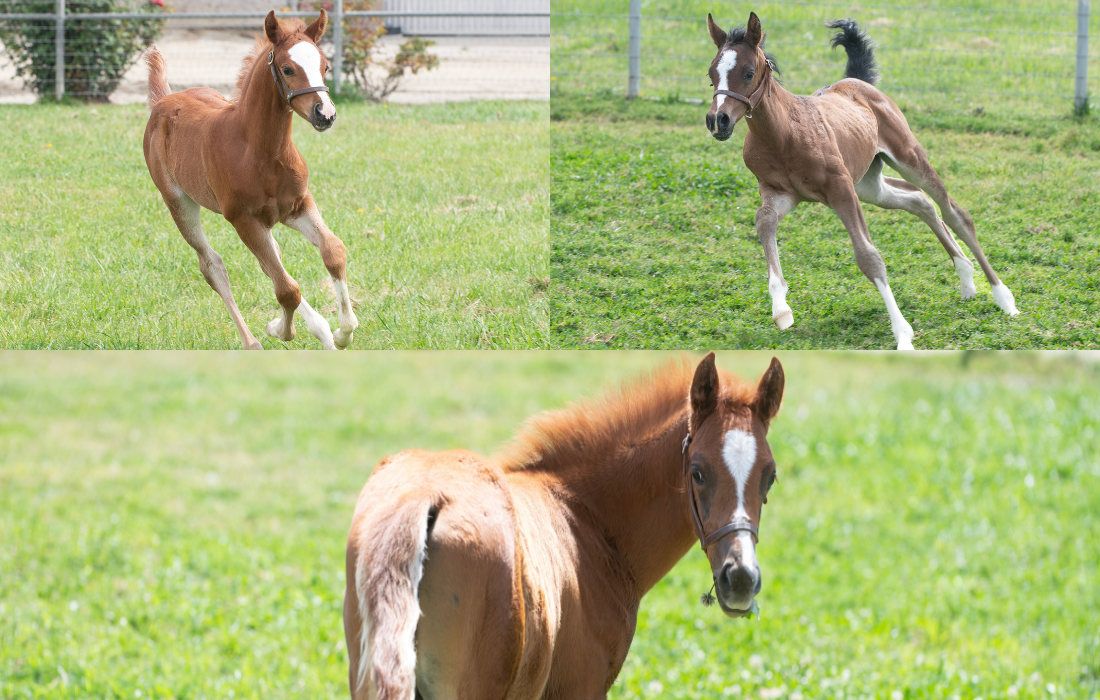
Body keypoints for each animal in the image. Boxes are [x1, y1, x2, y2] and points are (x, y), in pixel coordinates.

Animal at [141, 9, 356, 347]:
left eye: (325, 66)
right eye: (288, 69)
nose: (325, 114)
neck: (261, 153)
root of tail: (163, 100)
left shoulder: (298, 205)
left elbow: (332, 251)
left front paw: (342, 332)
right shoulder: (243, 220)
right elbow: (287, 289)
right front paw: (281, 330)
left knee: (272, 260)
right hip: (178, 203)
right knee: (213, 266)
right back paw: (253, 342)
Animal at [343, 354, 783, 700]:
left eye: (770, 477)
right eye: (698, 472)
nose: (741, 579)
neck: (585, 516)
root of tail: (422, 497)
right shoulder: (584, 687)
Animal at [708, 12, 1016, 347]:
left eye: (748, 73)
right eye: (711, 74)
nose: (718, 120)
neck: (784, 133)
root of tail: (859, 82)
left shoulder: (840, 189)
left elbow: (868, 256)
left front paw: (903, 335)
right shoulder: (781, 193)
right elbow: (763, 220)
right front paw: (781, 309)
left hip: (906, 156)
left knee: (953, 211)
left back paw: (1003, 298)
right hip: (869, 185)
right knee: (918, 200)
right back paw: (967, 279)